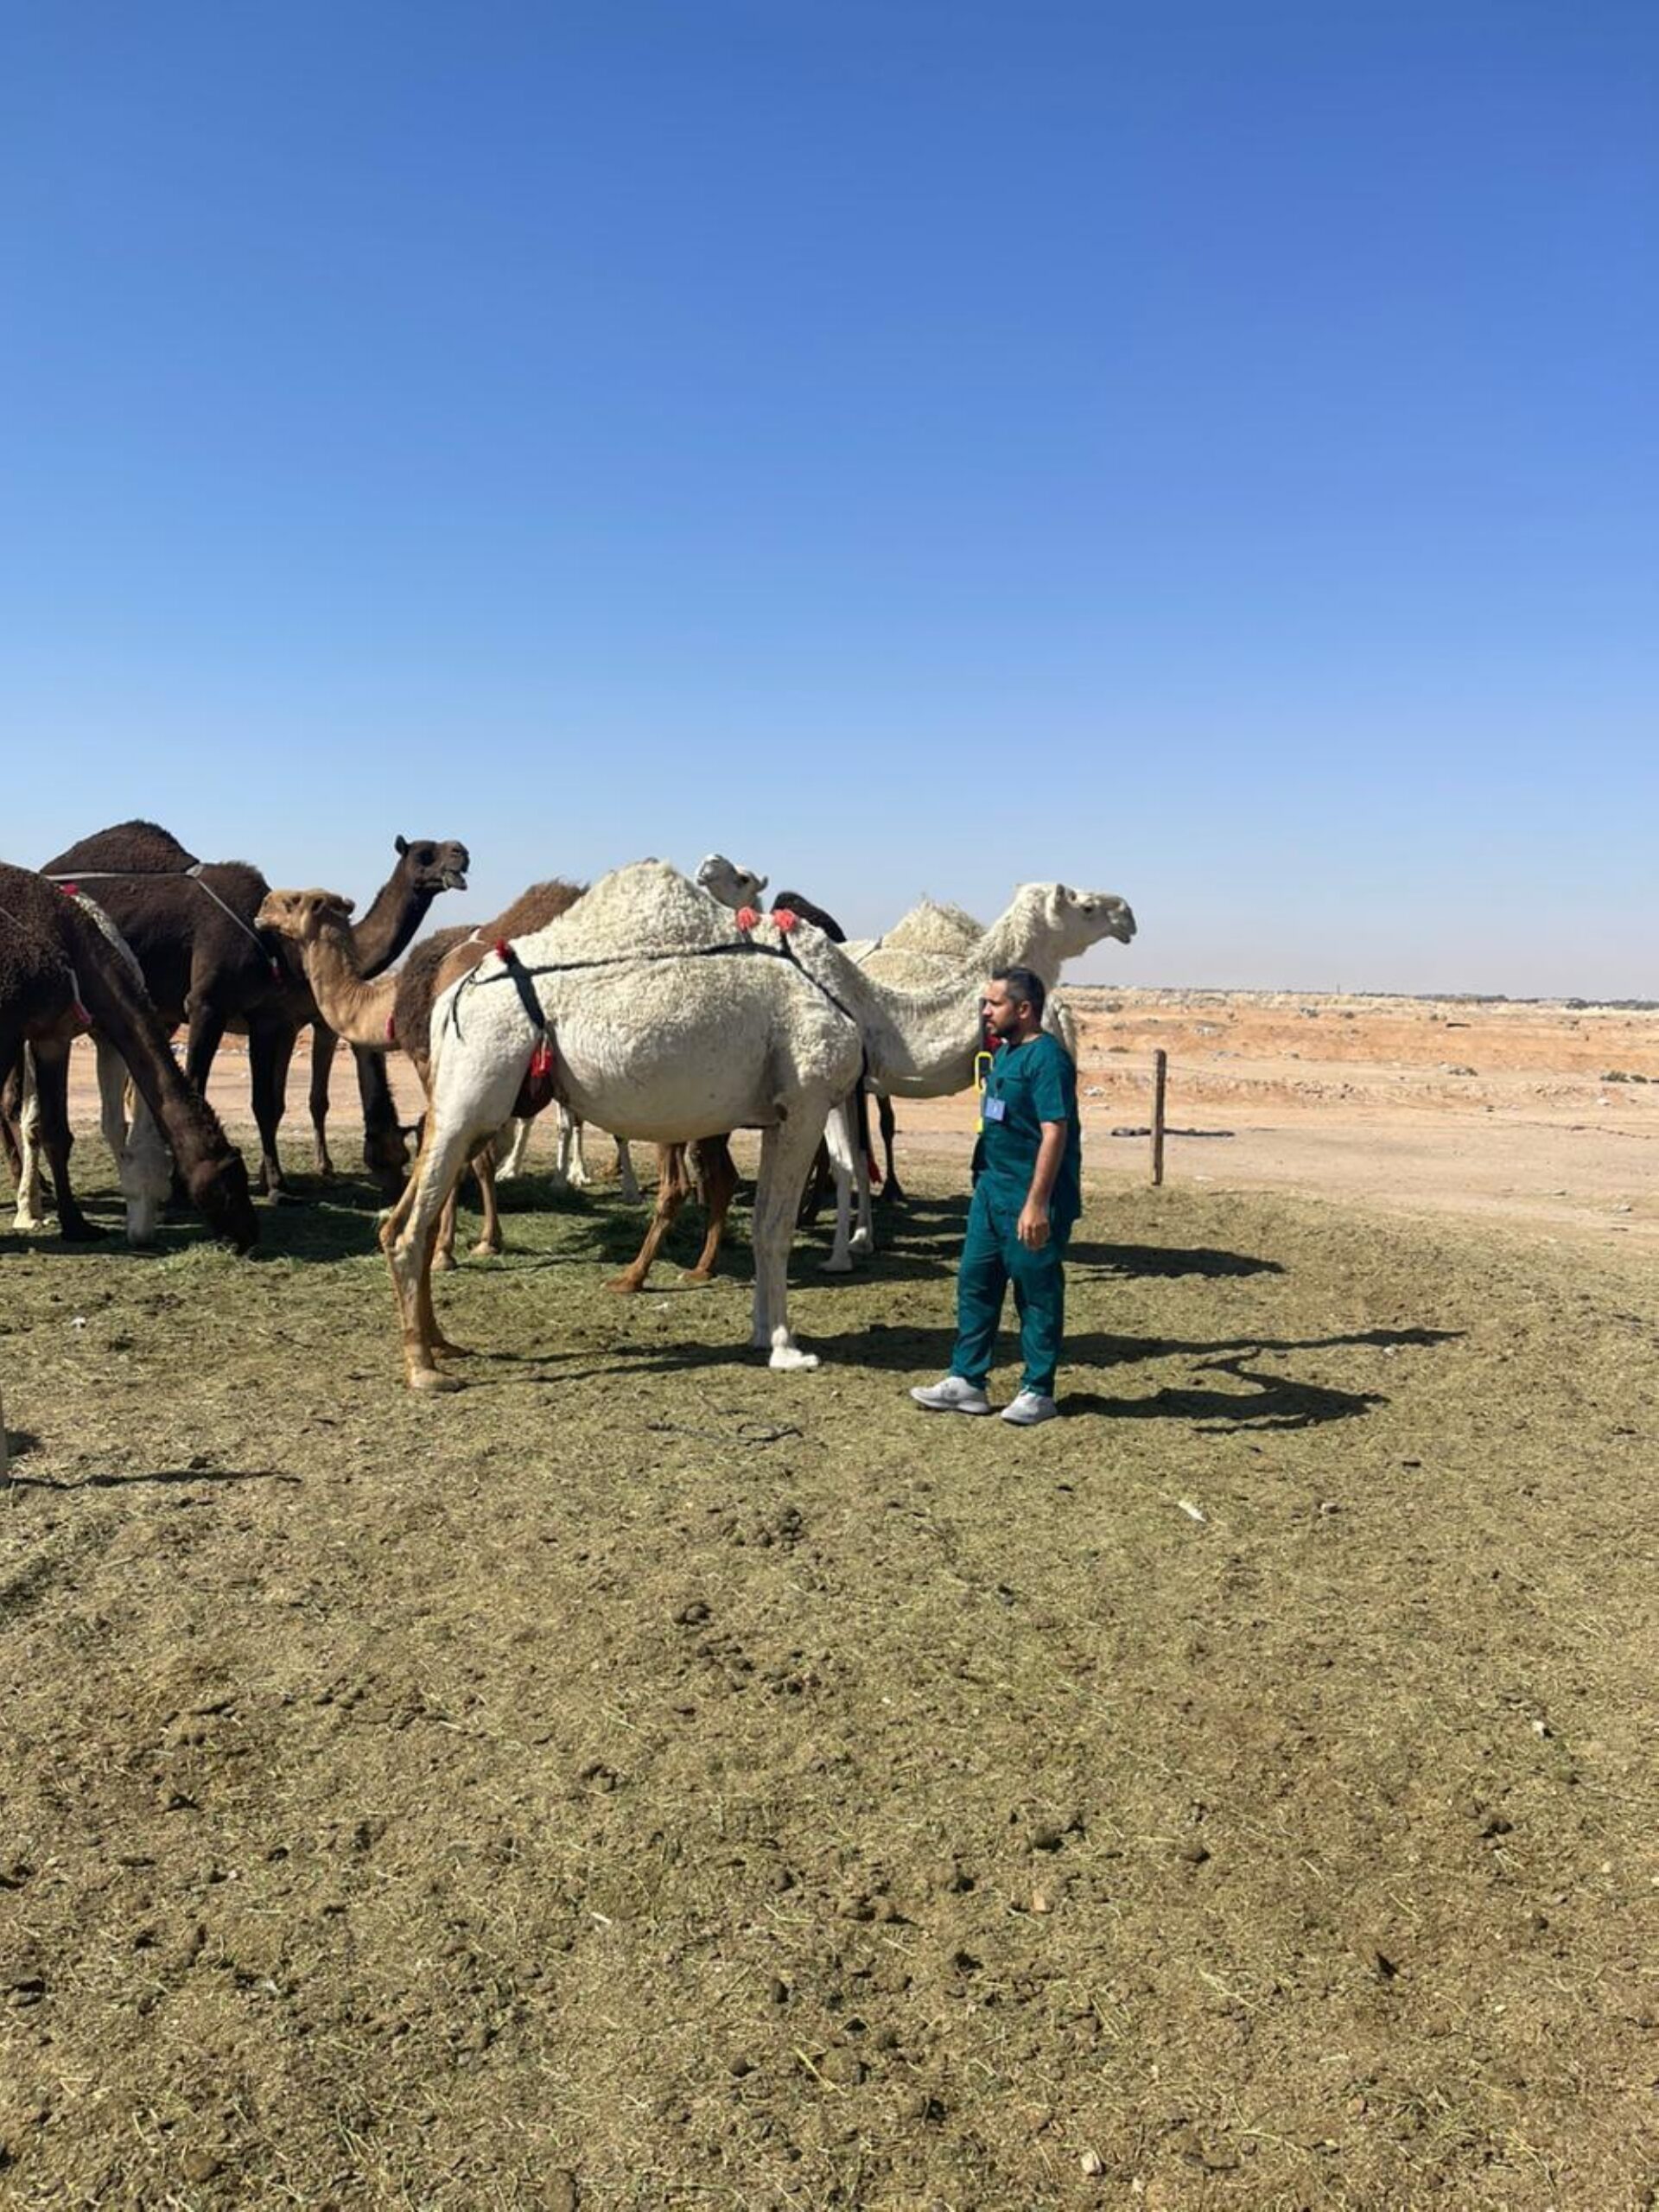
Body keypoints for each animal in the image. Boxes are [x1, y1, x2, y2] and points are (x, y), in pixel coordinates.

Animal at [0, 862, 258, 1250]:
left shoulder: (75, 1035)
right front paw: (75, 1225)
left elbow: (78, 1129)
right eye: (229, 1190)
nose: (248, 1237)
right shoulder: (48, 1032)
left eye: (161, 1195)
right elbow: (50, 1129)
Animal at [36, 822, 469, 1200]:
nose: (461, 853)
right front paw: (188, 1186)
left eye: (402, 1154)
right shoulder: (210, 1004)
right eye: (424, 855)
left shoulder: (274, 1020)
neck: (282, 949)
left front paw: (275, 1183)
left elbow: (270, 1102)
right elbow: (207, 1086)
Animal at [253, 876, 587, 1267]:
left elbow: (449, 1151)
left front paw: (443, 1251)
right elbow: (479, 1159)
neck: (386, 1004)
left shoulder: (431, 1064)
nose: (262, 908)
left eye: (293, 901)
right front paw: (489, 1240)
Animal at [378, 860, 865, 1390]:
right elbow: (776, 1230)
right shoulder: (805, 1099)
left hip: (463, 1103)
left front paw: (763, 1333)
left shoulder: (780, 1114)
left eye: (739, 877)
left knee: (408, 1218)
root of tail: (451, 997)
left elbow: (761, 1225)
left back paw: (441, 1340)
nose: (707, 866)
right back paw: (423, 1367)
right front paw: (786, 1348)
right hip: (474, 1093)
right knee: (408, 1232)